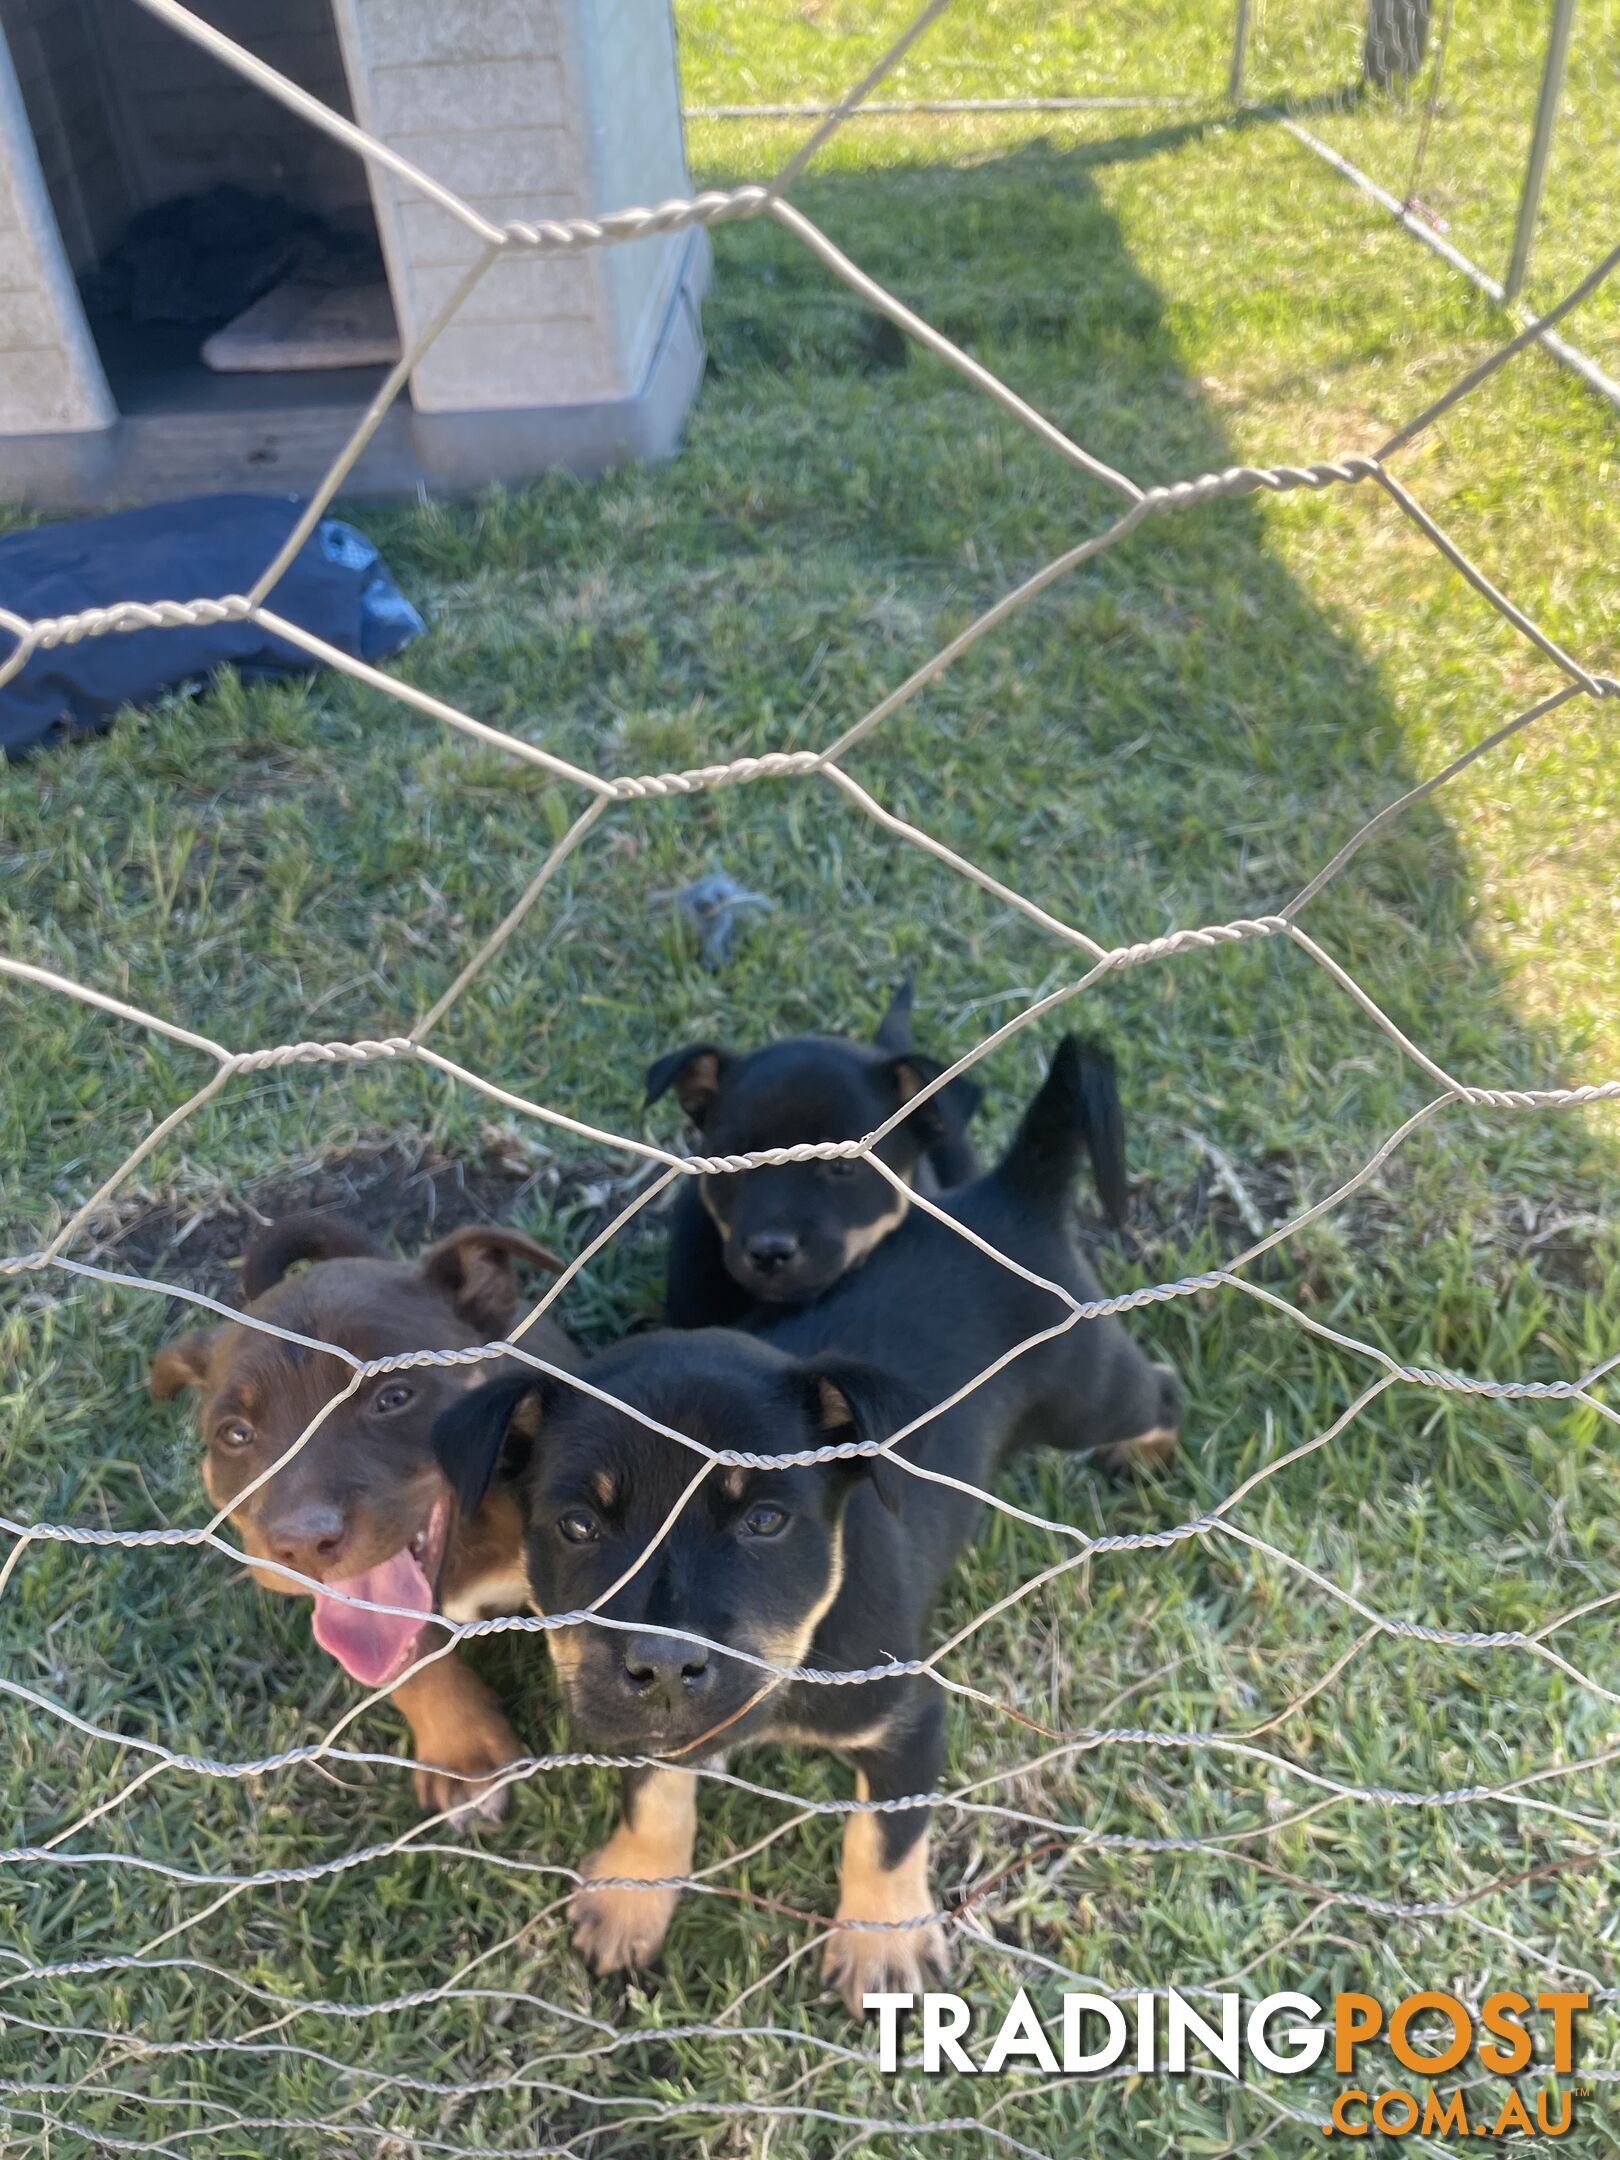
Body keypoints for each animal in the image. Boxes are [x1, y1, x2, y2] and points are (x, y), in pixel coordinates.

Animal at [438, 1036, 1183, 2013]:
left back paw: (1150, 1450)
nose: (665, 1667)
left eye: (764, 1520)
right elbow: (653, 1793)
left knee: (1157, 1388)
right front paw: (633, 1894)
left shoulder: (911, 1714)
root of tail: (1009, 1196)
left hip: (1086, 1388)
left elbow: (885, 1835)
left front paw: (881, 1944)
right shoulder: (633, 1715)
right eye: (576, 1526)